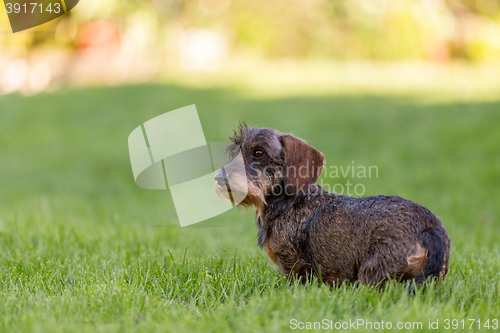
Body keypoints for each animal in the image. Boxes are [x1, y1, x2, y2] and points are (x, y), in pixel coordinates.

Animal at [214, 123, 450, 286]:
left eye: (259, 152)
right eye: (235, 152)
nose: (218, 178)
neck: (288, 204)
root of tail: (429, 229)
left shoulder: (295, 265)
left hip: (373, 270)